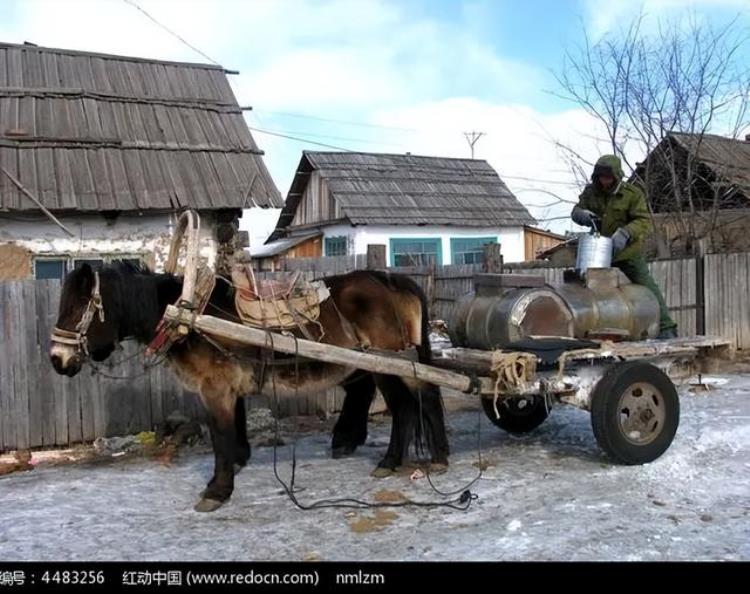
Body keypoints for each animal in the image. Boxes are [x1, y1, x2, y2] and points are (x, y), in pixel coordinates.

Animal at [50, 262, 450, 508]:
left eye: (76, 309)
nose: (57, 360)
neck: (188, 315)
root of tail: (390, 279)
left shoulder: (215, 390)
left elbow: (220, 437)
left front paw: (217, 490)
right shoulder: (230, 389)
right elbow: (234, 432)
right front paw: (236, 465)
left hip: (390, 363)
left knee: (410, 405)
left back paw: (403, 459)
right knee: (415, 401)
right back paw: (422, 456)